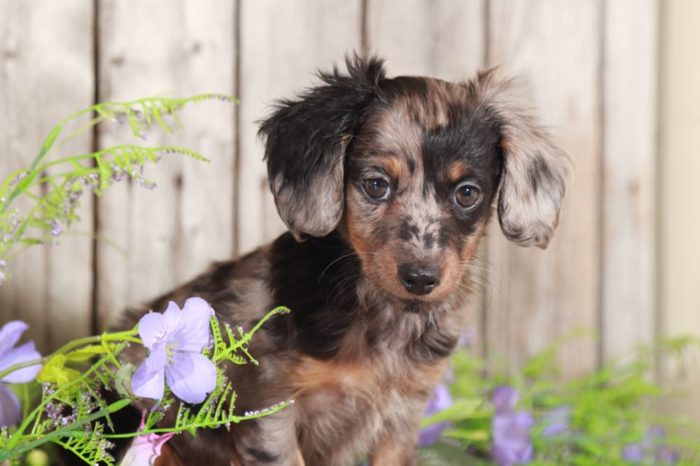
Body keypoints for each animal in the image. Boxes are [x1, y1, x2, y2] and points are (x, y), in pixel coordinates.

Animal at [120, 55, 568, 466]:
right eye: (376, 185)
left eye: (467, 193)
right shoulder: (273, 409)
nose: (421, 278)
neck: (380, 315)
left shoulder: (402, 417)